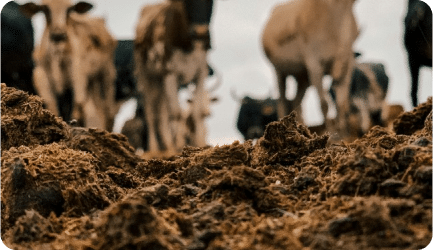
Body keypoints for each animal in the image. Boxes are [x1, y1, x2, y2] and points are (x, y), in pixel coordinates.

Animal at [20, 0, 116, 131]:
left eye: (69, 9)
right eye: (45, 9)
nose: (58, 35)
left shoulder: (78, 77)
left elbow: (77, 109)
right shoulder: (41, 76)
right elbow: (53, 107)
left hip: (106, 75)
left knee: (107, 110)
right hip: (91, 83)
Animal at [134, 0, 210, 152]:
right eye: (187, 2)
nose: (201, 32)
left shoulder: (200, 73)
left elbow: (197, 112)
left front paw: (200, 145)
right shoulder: (170, 73)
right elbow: (176, 112)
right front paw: (179, 145)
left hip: (161, 83)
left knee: (162, 112)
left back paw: (167, 145)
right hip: (147, 78)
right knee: (150, 112)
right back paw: (155, 148)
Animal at [262, 0, 360, 136]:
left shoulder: (347, 63)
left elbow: (342, 103)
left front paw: (345, 132)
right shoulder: (314, 64)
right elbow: (324, 103)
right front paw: (331, 131)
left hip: (303, 77)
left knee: (296, 103)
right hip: (279, 71)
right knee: (282, 102)